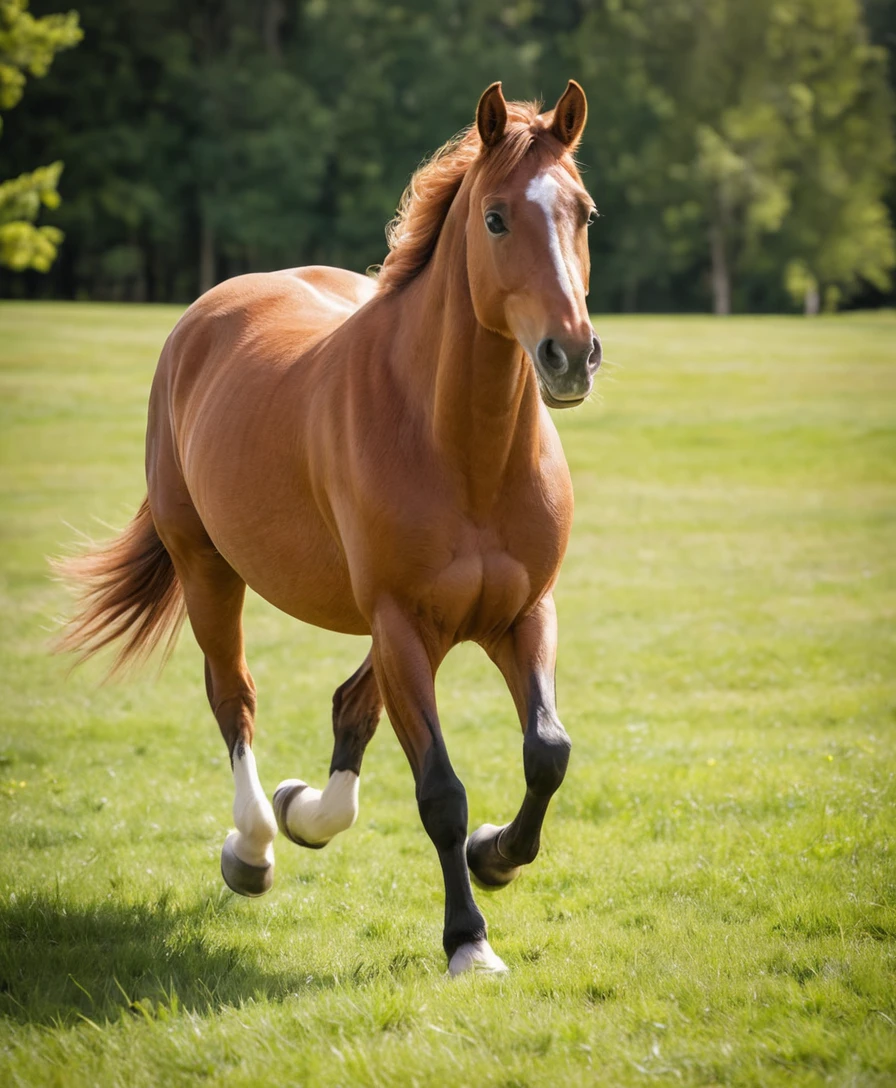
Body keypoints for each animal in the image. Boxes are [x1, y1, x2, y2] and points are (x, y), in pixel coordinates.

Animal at [56, 80, 601, 976]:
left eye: (583, 213)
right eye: (495, 217)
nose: (571, 354)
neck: (462, 448)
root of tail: (208, 313)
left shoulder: (521, 613)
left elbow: (546, 753)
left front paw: (495, 857)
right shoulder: (402, 623)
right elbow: (440, 792)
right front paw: (467, 939)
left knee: (351, 704)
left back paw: (304, 811)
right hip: (210, 571)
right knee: (233, 697)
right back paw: (253, 847)